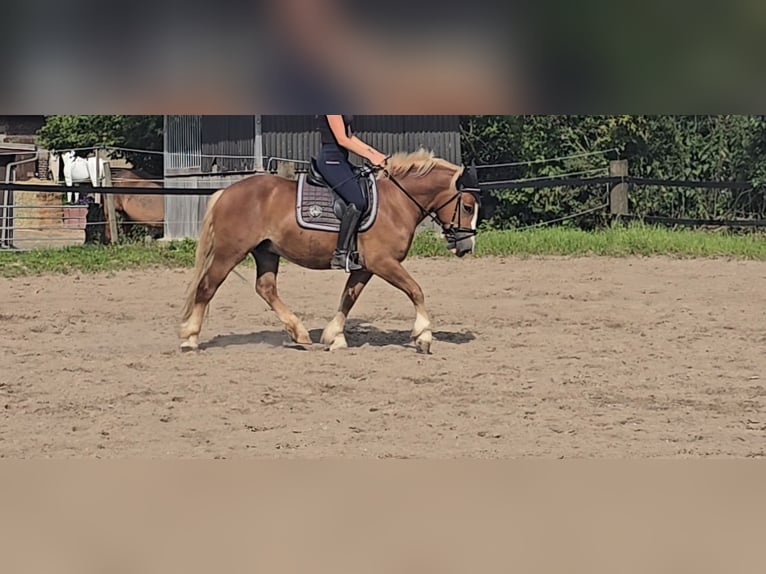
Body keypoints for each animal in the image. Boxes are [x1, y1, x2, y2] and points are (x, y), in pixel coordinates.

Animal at [178, 148, 484, 356]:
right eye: (468, 206)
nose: (466, 247)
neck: (397, 203)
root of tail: (226, 192)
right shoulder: (383, 262)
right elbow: (415, 290)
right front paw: (423, 336)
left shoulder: (365, 267)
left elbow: (349, 297)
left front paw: (334, 337)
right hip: (229, 252)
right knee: (207, 288)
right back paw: (190, 338)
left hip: (266, 252)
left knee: (265, 288)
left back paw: (300, 333)